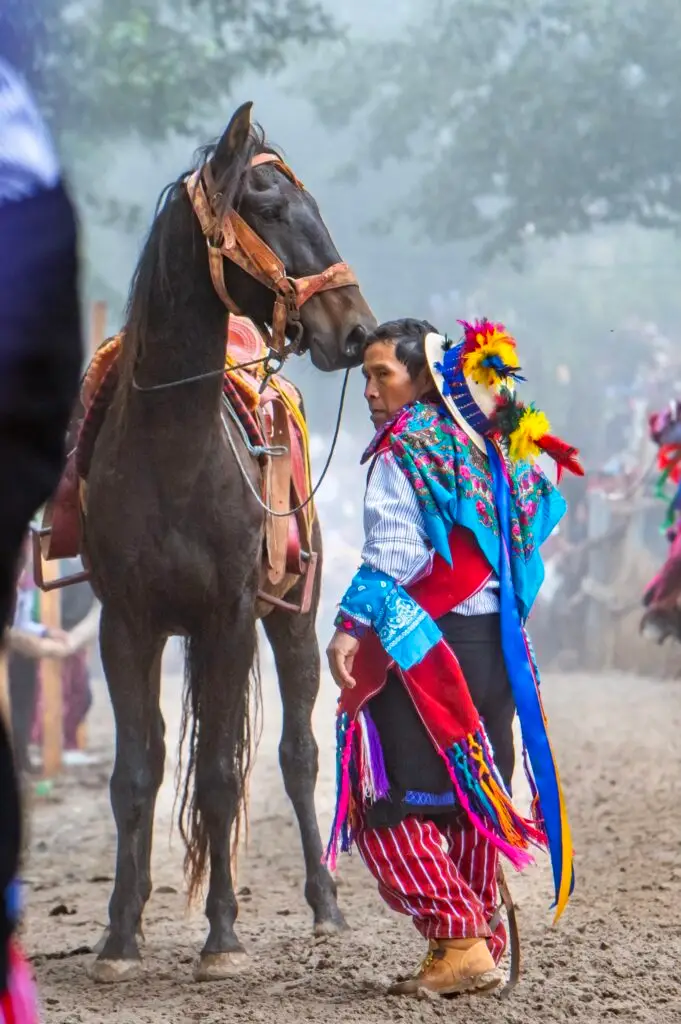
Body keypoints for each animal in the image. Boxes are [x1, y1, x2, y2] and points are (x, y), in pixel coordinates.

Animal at [83, 103, 376, 983]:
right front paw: (119, 936)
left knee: (296, 755)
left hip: (293, 621)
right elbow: (138, 772)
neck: (172, 453)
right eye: (270, 209)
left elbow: (219, 773)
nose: (358, 328)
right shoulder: (127, 623)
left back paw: (324, 905)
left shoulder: (230, 617)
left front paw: (221, 937)